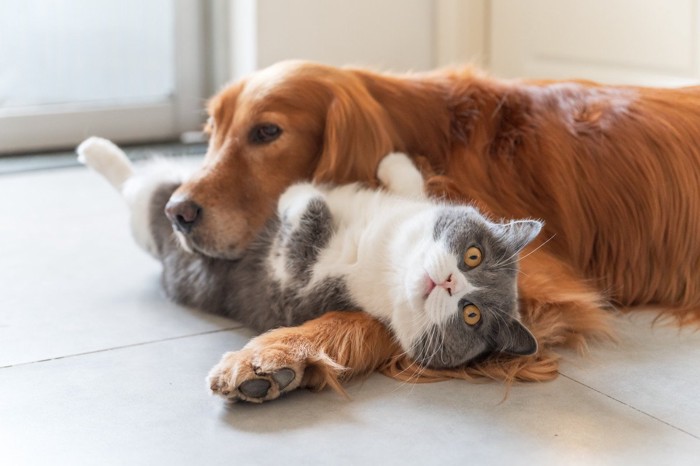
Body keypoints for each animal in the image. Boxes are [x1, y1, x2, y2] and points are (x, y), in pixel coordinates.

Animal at [80, 137, 540, 402]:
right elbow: (409, 186)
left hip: (149, 221)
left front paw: (297, 193)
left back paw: (94, 150)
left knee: (137, 189)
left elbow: (304, 219)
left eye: (471, 314)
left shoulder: (297, 285)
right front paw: (393, 161)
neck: (388, 255)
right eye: (474, 256)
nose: (447, 281)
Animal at [161, 60, 700, 398]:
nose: (175, 212)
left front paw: (281, 349)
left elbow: (381, 317)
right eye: (211, 133)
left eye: (267, 132)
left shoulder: (551, 291)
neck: (428, 141)